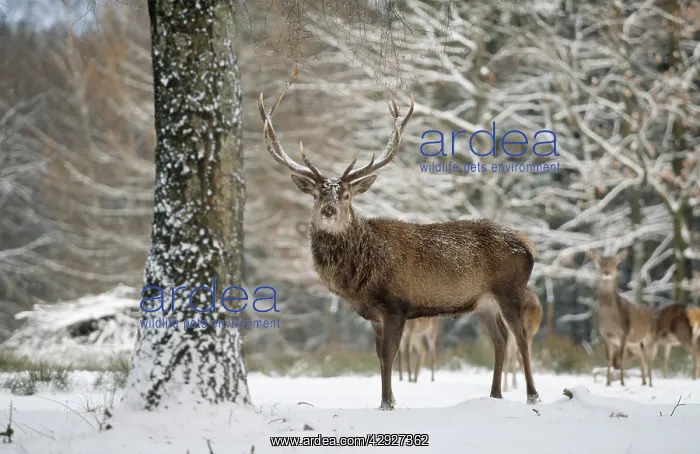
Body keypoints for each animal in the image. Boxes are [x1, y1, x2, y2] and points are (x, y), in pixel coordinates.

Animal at [258, 71, 541, 410]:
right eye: (315, 194)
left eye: (347, 195)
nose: (328, 210)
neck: (361, 275)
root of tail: (529, 247)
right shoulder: (374, 314)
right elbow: (379, 357)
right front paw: (385, 401)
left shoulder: (396, 305)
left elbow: (389, 355)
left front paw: (388, 402)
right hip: (483, 303)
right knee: (500, 339)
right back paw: (495, 394)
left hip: (509, 290)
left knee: (521, 337)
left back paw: (532, 395)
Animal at [587, 248, 655, 387]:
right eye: (601, 263)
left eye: (614, 263)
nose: (606, 272)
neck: (611, 321)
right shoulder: (604, 334)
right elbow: (608, 357)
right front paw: (608, 382)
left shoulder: (624, 332)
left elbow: (621, 356)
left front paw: (622, 382)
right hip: (634, 342)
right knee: (641, 355)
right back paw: (643, 382)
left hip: (650, 337)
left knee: (649, 358)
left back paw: (650, 383)